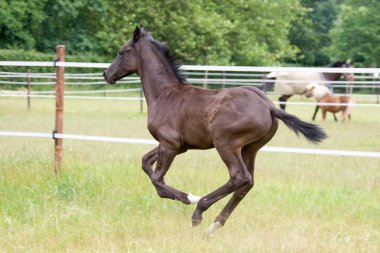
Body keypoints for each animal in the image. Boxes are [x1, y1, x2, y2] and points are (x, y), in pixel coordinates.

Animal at [103, 25, 326, 235]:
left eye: (121, 51)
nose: (106, 74)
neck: (165, 95)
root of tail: (268, 105)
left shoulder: (170, 144)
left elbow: (157, 179)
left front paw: (190, 198)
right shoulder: (177, 146)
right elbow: (145, 163)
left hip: (225, 143)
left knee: (239, 177)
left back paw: (199, 210)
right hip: (250, 148)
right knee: (247, 182)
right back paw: (213, 226)